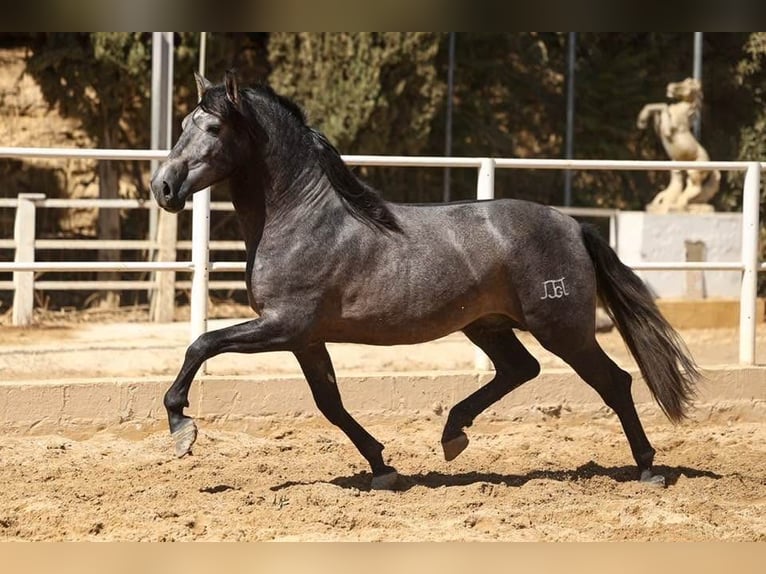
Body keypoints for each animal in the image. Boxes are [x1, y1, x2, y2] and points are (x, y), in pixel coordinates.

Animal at [150, 71, 700, 490]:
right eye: (182, 124)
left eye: (213, 127)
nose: (163, 187)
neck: (301, 218)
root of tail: (573, 225)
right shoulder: (305, 338)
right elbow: (330, 404)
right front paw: (382, 467)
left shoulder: (283, 325)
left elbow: (201, 344)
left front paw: (181, 426)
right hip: (487, 325)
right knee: (520, 369)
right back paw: (452, 434)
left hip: (562, 329)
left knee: (614, 381)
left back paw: (648, 468)